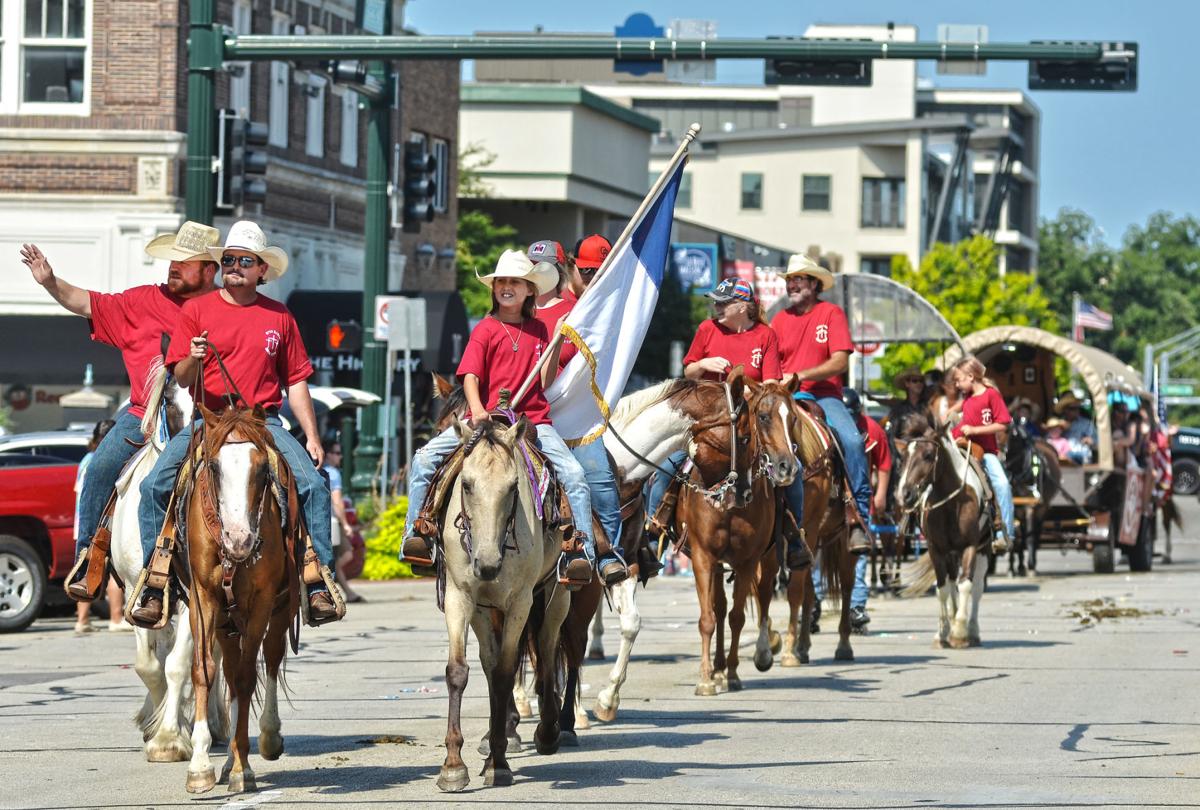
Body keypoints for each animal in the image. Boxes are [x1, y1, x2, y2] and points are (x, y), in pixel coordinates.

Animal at [182, 405, 297, 792]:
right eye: (214, 467)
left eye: (262, 469)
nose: (239, 539)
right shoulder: (203, 598)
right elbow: (203, 670)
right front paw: (200, 766)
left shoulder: (262, 600)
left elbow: (249, 677)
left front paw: (242, 769)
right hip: (226, 621)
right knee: (229, 674)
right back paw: (230, 756)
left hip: (278, 607)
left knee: (271, 658)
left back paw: (265, 739)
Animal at [897, 415, 988, 648]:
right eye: (903, 457)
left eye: (928, 455)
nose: (904, 494)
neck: (951, 504)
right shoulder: (936, 549)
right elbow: (943, 588)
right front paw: (943, 632)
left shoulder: (970, 546)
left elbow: (966, 585)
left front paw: (959, 632)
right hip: (950, 553)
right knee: (952, 581)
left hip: (983, 549)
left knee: (976, 588)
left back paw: (973, 631)